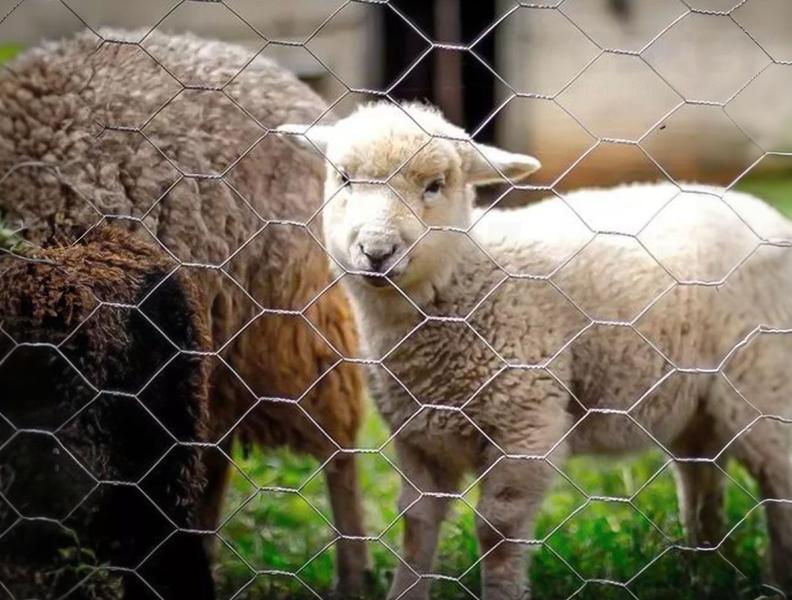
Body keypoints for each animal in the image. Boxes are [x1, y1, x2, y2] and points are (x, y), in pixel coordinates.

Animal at [278, 103, 792, 600]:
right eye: (344, 178)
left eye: (435, 186)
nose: (377, 251)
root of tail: (763, 213)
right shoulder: (419, 434)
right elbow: (417, 525)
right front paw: (405, 593)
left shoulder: (526, 423)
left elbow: (497, 530)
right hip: (697, 402)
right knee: (702, 475)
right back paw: (702, 571)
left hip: (762, 380)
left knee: (779, 481)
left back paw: (773, 581)